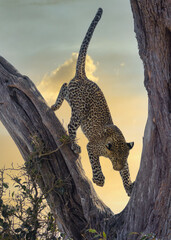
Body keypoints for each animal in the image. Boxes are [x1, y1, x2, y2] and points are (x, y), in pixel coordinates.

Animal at [51, 7, 134, 195]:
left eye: (124, 158)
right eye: (115, 158)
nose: (117, 168)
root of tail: (84, 77)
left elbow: (126, 175)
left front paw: (129, 186)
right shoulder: (92, 146)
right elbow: (95, 162)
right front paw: (99, 179)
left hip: (73, 99)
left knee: (65, 85)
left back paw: (54, 106)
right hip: (79, 110)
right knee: (70, 125)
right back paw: (74, 145)